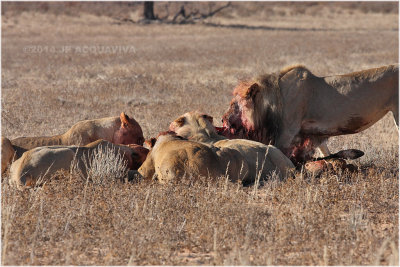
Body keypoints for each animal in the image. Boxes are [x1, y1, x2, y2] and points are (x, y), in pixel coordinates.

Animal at [220, 65, 398, 165]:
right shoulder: (313, 134)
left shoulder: (287, 132)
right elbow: (325, 152)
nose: (222, 119)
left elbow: (280, 153)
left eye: (233, 104)